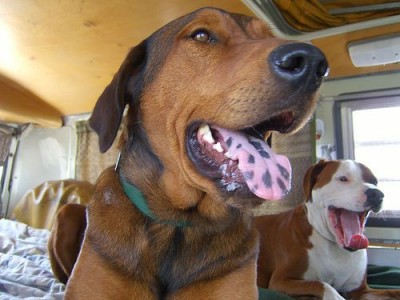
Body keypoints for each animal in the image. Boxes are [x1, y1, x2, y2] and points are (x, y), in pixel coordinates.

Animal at [256, 159, 400, 298]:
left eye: (374, 182)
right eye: (343, 178)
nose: (377, 193)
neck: (335, 247)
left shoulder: (361, 291)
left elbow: (391, 292)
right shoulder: (281, 280)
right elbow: (320, 284)